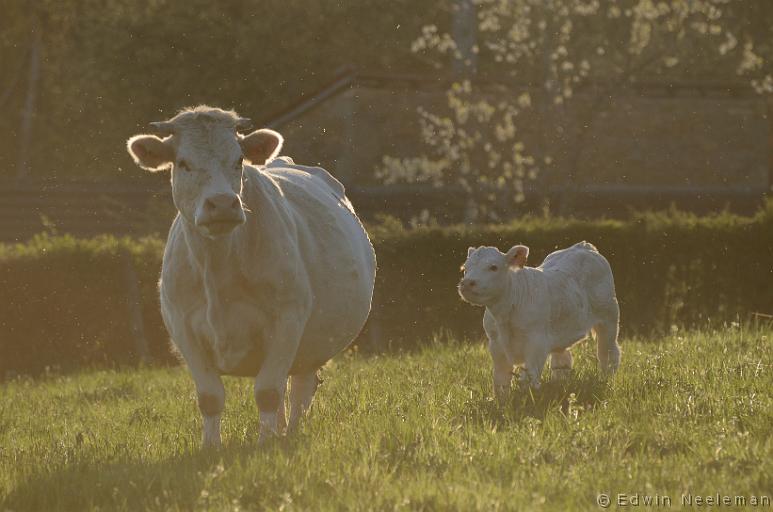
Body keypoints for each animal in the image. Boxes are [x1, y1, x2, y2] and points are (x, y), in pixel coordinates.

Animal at [125, 106, 376, 446]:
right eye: (183, 163)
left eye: (238, 160)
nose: (221, 204)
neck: (218, 270)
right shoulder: (182, 326)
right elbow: (210, 397)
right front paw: (211, 447)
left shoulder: (288, 319)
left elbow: (268, 392)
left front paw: (265, 443)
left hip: (312, 344)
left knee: (298, 391)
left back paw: (288, 434)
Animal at [458, 242, 620, 402]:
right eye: (465, 268)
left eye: (493, 267)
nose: (467, 283)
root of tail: (583, 246)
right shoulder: (496, 344)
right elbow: (501, 380)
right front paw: (502, 403)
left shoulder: (536, 343)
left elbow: (528, 378)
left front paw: (527, 401)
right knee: (562, 361)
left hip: (609, 319)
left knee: (608, 355)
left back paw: (606, 381)